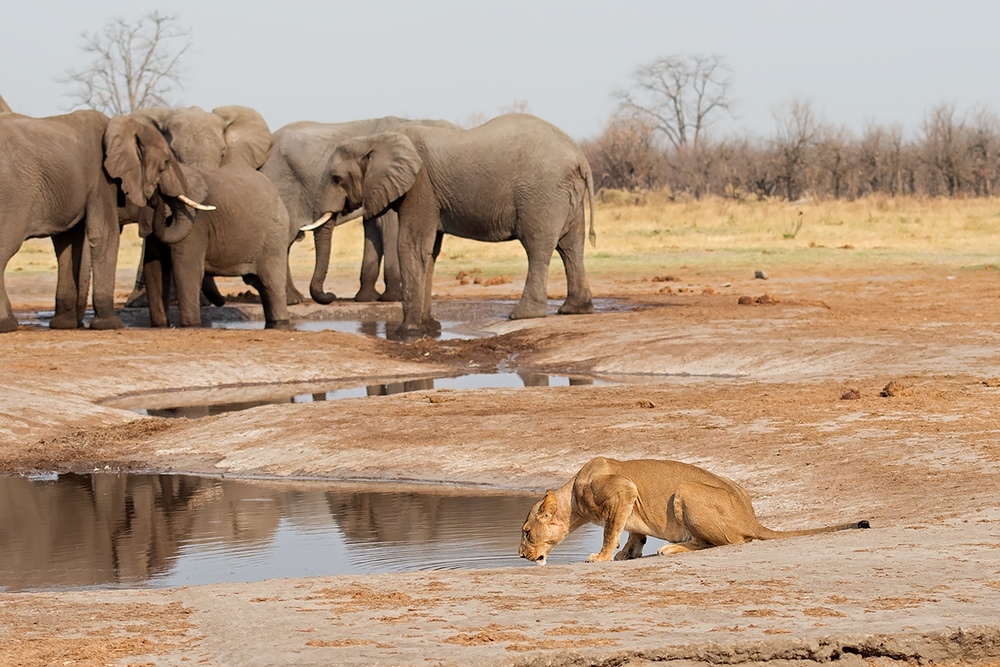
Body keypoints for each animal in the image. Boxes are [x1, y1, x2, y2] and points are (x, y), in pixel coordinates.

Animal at [0, 109, 125, 334]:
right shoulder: (101, 177)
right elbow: (104, 233)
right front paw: (109, 326)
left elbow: (67, 240)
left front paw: (64, 325)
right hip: (12, 195)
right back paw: (6, 325)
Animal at [105, 118, 292, 332]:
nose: (156, 196)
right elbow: (155, 268)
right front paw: (161, 326)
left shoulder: (197, 225)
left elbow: (187, 268)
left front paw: (191, 325)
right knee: (260, 284)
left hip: (275, 235)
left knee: (271, 283)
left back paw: (280, 324)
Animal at [260, 116, 458, 304]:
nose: (330, 295)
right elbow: (389, 225)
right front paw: (392, 298)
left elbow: (372, 226)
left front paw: (367, 298)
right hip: (281, 183)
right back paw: (291, 301)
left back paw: (294, 299)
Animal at [312, 112, 592, 340]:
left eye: (336, 179)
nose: (331, 296)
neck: (374, 140)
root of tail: (580, 158)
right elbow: (429, 253)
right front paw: (430, 328)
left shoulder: (420, 187)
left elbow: (411, 246)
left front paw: (407, 334)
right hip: (567, 198)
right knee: (571, 247)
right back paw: (574, 310)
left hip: (541, 194)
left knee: (538, 248)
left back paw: (522, 315)